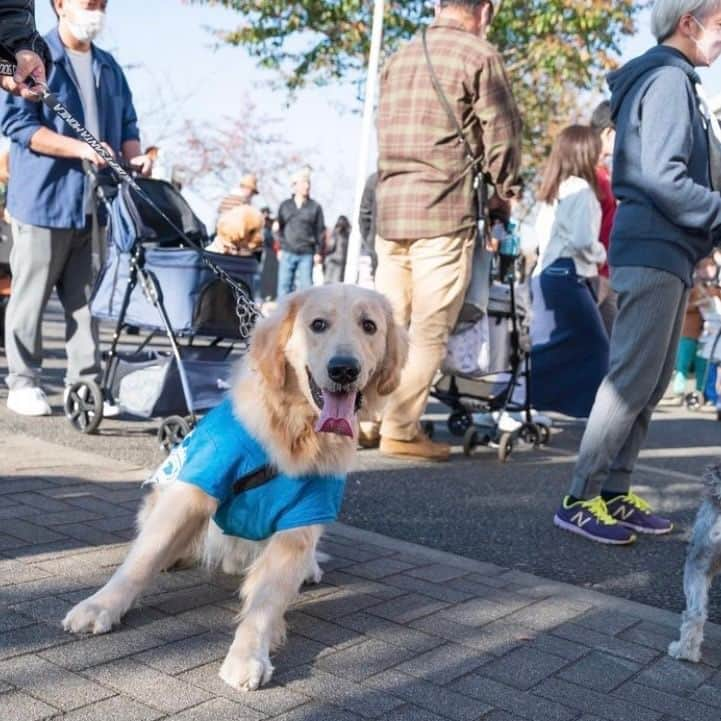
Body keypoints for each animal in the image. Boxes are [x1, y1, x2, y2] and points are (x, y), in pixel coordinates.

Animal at [62, 286, 408, 692]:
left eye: (369, 326)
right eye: (318, 324)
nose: (344, 369)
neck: (292, 431)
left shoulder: (303, 518)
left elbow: (265, 602)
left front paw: (247, 656)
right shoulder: (194, 488)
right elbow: (141, 560)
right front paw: (100, 606)